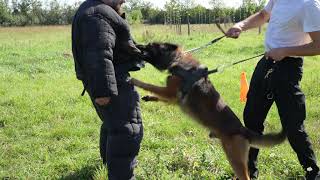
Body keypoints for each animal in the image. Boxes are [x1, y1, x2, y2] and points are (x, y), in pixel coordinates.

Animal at [131, 42, 286, 180]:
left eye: (150, 45)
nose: (136, 45)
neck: (178, 61)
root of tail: (243, 130)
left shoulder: (170, 92)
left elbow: (150, 85)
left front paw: (134, 81)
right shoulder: (173, 98)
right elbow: (157, 94)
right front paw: (148, 97)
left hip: (234, 158)